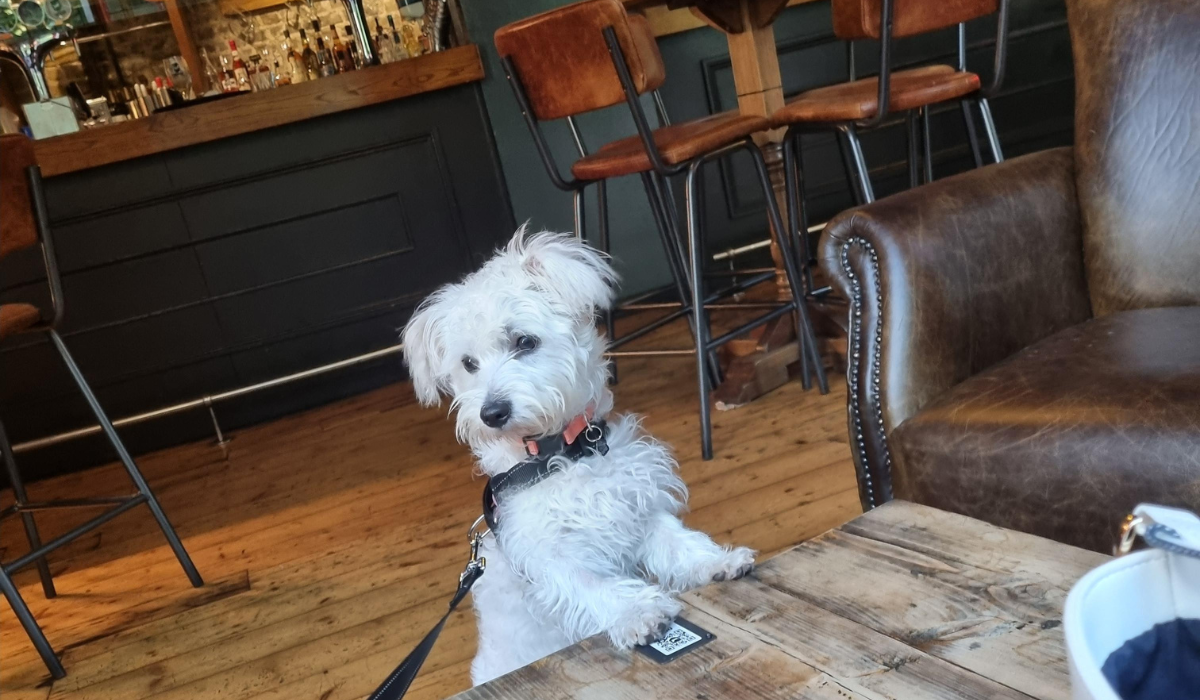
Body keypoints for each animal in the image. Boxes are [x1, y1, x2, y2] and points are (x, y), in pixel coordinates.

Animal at [408, 228, 753, 686]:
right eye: (468, 363)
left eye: (524, 341)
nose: (492, 413)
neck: (562, 456)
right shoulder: (550, 559)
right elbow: (593, 587)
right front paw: (639, 612)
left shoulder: (636, 511)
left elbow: (678, 542)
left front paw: (717, 561)